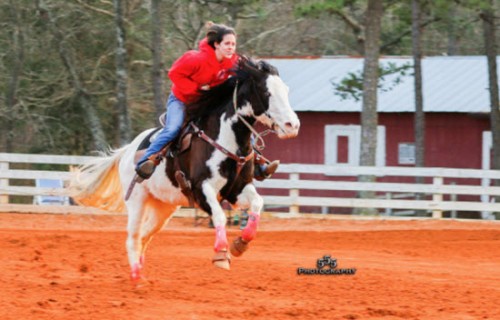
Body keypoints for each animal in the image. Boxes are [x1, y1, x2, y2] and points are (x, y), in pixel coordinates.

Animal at [71, 57, 300, 280]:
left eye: (286, 90)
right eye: (267, 92)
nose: (293, 125)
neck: (224, 140)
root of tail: (128, 151)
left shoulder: (237, 190)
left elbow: (257, 204)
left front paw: (240, 244)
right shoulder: (201, 189)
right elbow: (219, 216)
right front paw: (221, 254)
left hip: (164, 207)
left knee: (145, 235)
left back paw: (140, 271)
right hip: (137, 200)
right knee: (134, 236)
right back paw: (136, 276)